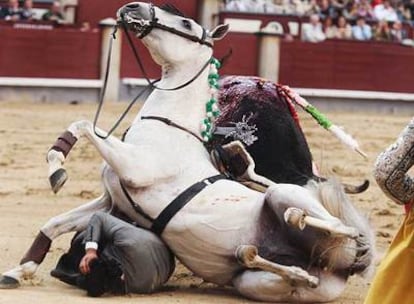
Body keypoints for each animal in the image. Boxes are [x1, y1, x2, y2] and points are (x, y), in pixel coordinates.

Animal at [0, 2, 376, 302]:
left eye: (186, 24)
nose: (133, 7)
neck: (169, 125)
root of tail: (342, 266)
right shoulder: (111, 202)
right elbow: (54, 223)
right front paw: (20, 270)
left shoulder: (135, 167)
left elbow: (84, 125)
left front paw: (57, 168)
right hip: (258, 283)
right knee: (274, 268)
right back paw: (281, 263)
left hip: (287, 194)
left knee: (332, 222)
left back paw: (315, 225)